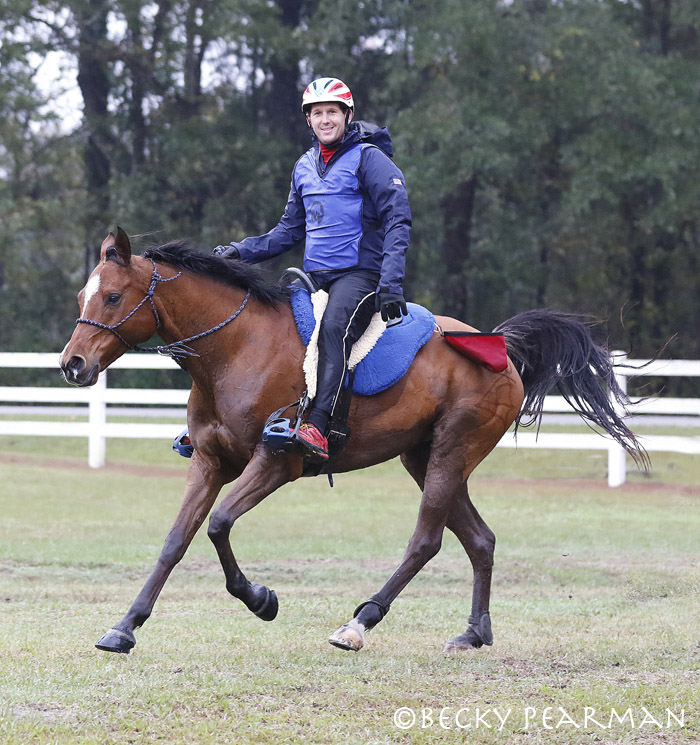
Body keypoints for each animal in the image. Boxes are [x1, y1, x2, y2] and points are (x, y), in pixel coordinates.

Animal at [59, 228, 646, 655]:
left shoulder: (276, 464)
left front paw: (261, 599)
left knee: (426, 541)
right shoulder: (209, 462)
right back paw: (474, 632)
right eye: (84, 296)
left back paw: (359, 622)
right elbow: (176, 541)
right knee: (480, 539)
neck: (236, 347)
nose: (73, 364)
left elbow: (220, 524)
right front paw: (126, 626)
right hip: (425, 459)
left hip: (451, 453)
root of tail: (498, 345)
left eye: (113, 296)